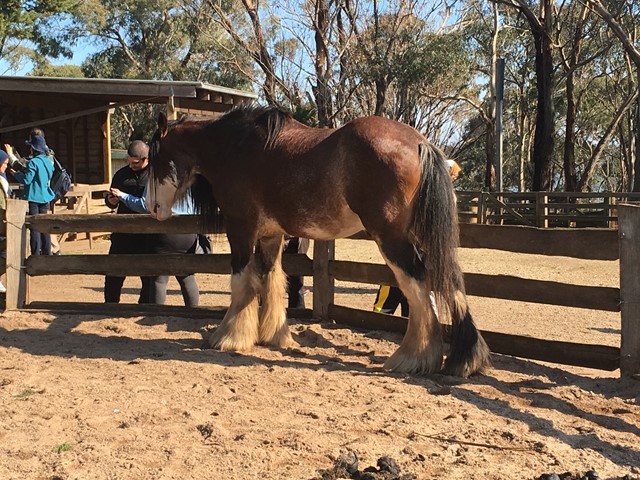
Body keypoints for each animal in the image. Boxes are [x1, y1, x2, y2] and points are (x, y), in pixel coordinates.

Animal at [146, 106, 490, 378]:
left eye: (155, 157)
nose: (153, 208)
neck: (236, 148)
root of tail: (421, 143)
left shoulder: (241, 229)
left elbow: (242, 281)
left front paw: (230, 337)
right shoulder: (271, 235)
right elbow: (271, 279)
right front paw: (274, 336)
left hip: (392, 240)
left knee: (417, 285)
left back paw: (413, 357)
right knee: (446, 280)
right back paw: (461, 358)